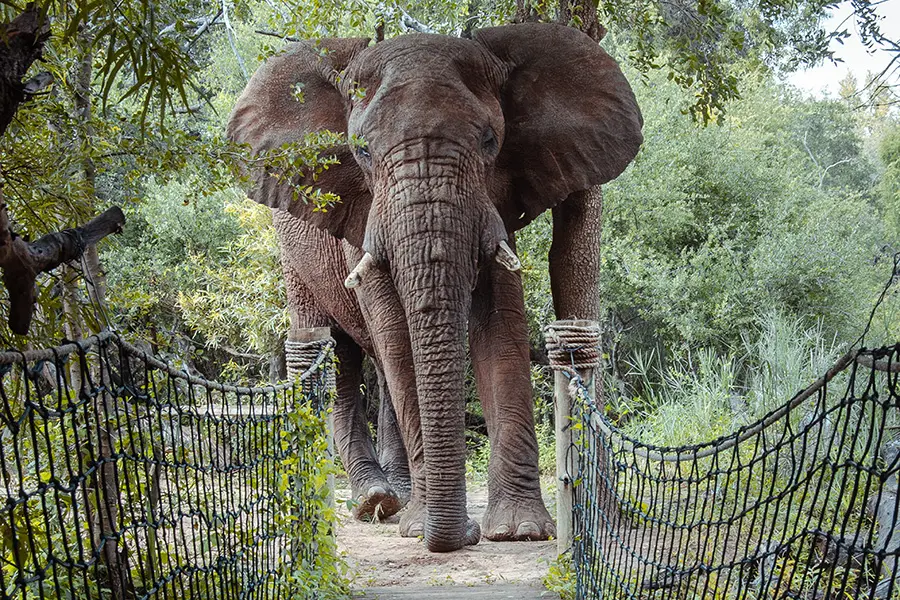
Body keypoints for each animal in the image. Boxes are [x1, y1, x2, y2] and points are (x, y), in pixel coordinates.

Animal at [229, 22, 644, 552]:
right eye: (361, 150)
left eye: (490, 141)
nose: (464, 534)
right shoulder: (360, 211)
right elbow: (395, 334)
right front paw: (422, 528)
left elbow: (499, 324)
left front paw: (519, 530)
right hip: (294, 252)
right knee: (336, 353)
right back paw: (377, 502)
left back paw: (398, 500)